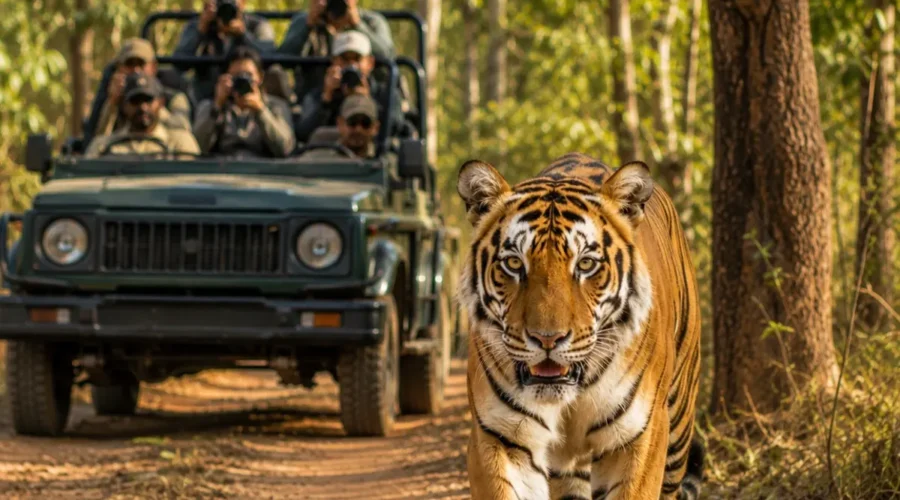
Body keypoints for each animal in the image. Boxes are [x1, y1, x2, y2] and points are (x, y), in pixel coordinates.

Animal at [456, 153, 704, 500]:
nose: (547, 339)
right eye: (514, 263)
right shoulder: (500, 436)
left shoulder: (639, 435)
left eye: (586, 264)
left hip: (679, 420)